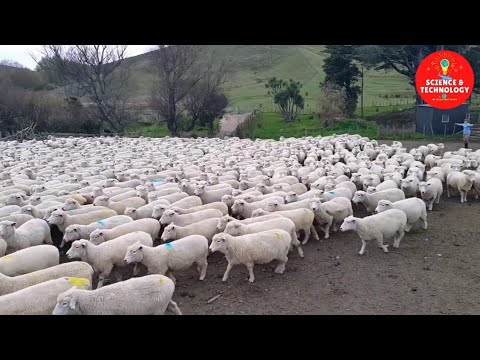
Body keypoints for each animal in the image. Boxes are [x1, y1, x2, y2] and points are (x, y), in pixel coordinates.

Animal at [51, 276, 181, 316]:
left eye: (64, 303)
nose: (53, 314)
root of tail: (169, 281)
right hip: (164, 302)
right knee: (174, 306)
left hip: (159, 309)